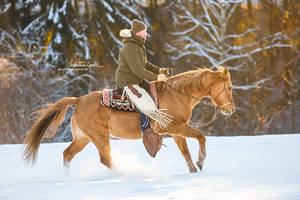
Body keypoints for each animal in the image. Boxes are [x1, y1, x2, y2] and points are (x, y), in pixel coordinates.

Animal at [24, 66, 234, 173]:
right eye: (230, 87)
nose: (231, 109)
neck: (177, 95)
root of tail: (79, 100)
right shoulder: (175, 127)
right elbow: (201, 137)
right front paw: (201, 162)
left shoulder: (175, 131)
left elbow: (185, 152)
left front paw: (194, 170)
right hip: (100, 137)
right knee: (106, 159)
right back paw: (124, 172)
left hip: (83, 138)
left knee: (67, 154)